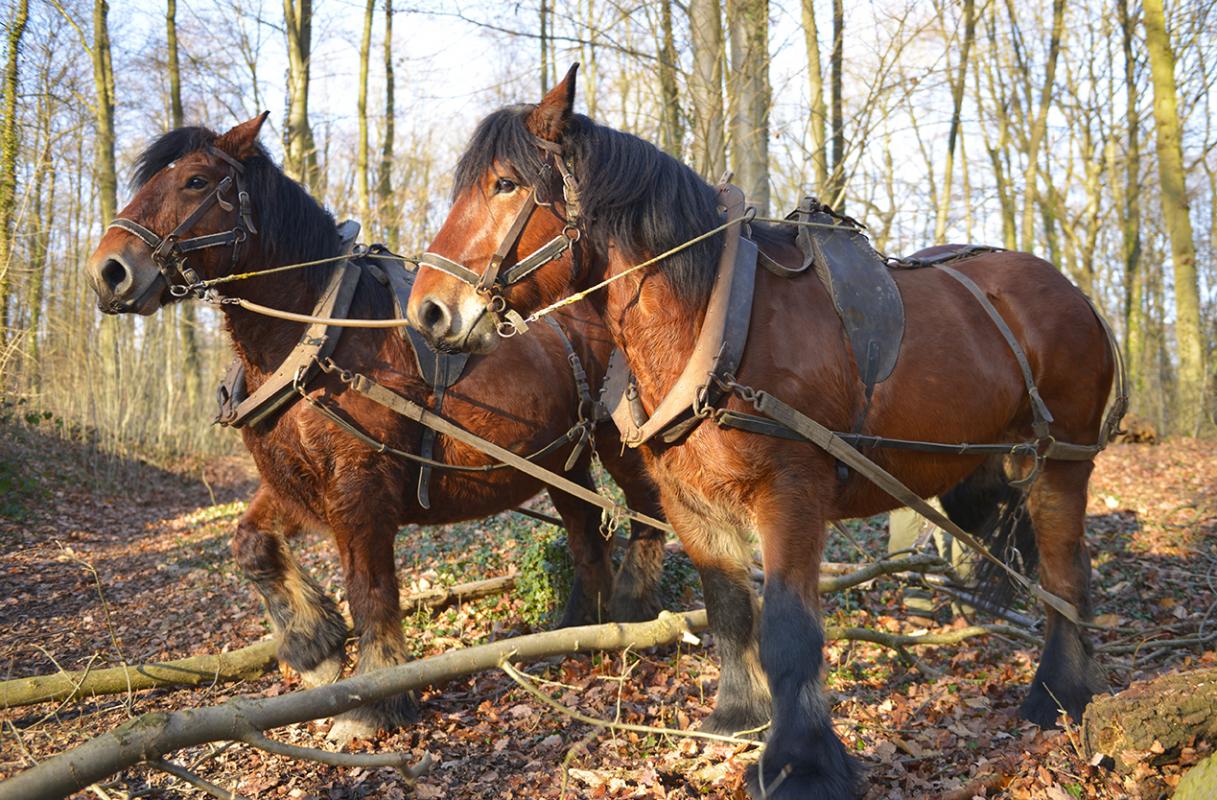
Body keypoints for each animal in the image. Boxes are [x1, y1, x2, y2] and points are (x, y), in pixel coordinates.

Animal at [83, 113, 676, 740]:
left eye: (195, 181)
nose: (108, 272)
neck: (317, 338)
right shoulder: (294, 481)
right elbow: (250, 545)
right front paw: (314, 648)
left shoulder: (359, 485)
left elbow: (369, 590)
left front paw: (372, 699)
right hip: (560, 460)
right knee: (587, 534)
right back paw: (579, 630)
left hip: (619, 444)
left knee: (647, 512)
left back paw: (634, 611)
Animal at [406, 70, 1114, 798]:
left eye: (504, 184)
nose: (426, 312)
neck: (715, 321)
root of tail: (1075, 293)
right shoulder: (689, 501)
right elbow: (728, 609)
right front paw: (736, 718)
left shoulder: (792, 491)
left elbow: (787, 628)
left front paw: (801, 763)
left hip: (1062, 461)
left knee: (1065, 573)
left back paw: (1057, 693)